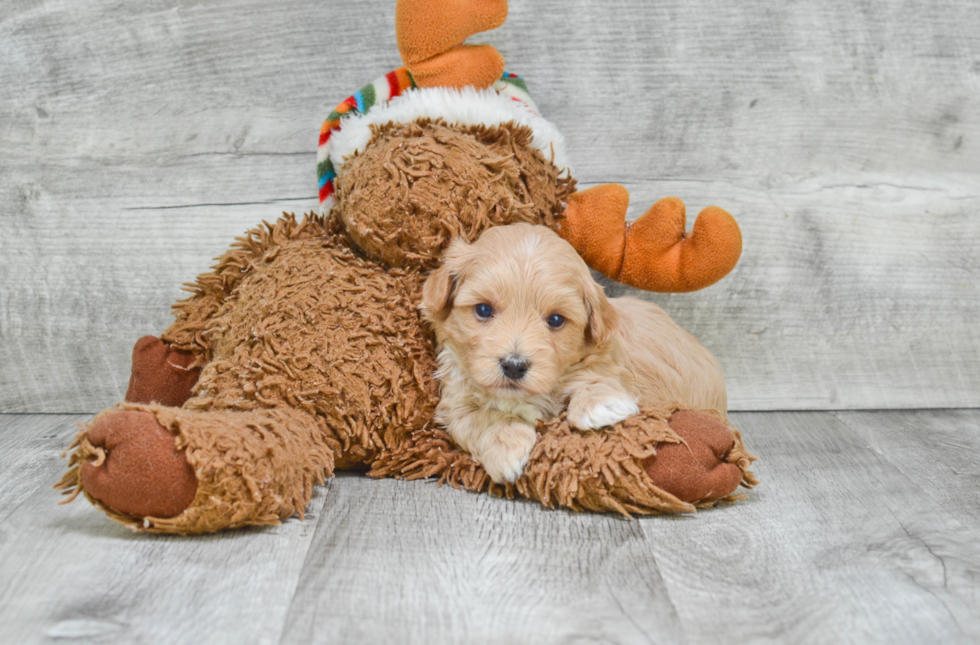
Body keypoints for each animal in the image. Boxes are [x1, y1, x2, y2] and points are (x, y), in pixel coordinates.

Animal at [422, 224, 728, 480]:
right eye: (483, 309)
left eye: (556, 320)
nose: (514, 365)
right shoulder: (455, 403)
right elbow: (482, 418)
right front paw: (507, 448)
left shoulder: (607, 358)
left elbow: (596, 377)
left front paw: (599, 405)